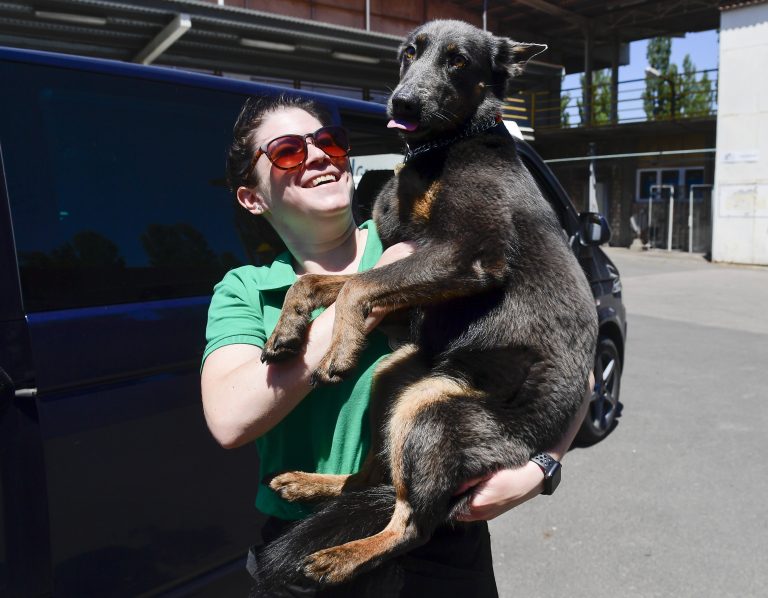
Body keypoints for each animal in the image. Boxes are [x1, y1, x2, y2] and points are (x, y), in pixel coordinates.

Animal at [255, 18, 596, 596]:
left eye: (458, 60)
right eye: (409, 53)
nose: (402, 102)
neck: (446, 144)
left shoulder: (468, 254)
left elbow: (356, 286)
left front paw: (338, 346)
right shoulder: (409, 281)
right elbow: (321, 281)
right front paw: (289, 330)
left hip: (431, 409)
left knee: (414, 524)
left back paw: (340, 558)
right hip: (394, 379)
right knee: (373, 479)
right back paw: (313, 485)